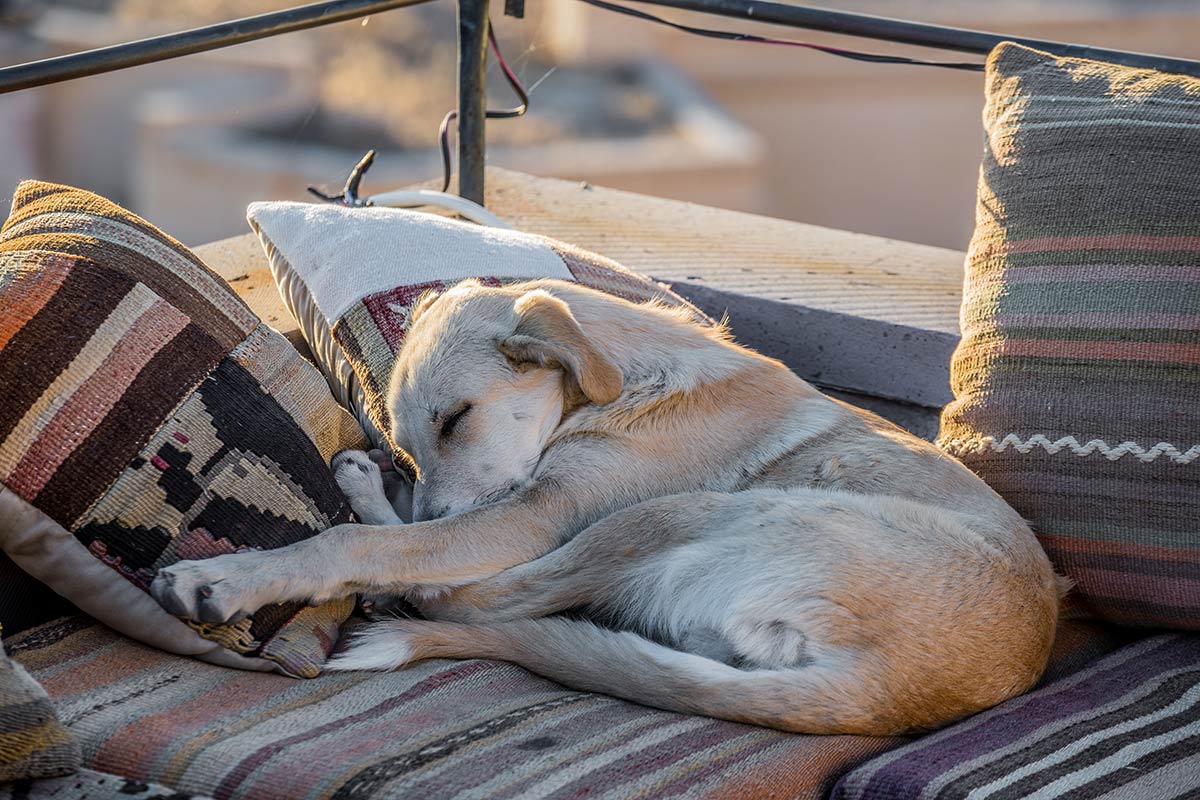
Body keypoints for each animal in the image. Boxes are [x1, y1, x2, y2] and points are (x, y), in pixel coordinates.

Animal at [152, 278, 1070, 734]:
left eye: (457, 419)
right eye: (417, 439)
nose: (406, 479)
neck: (624, 379)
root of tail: (883, 696)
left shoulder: (535, 513)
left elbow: (373, 549)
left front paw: (231, 579)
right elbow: (422, 536)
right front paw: (387, 487)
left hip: (677, 516)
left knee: (475, 600)